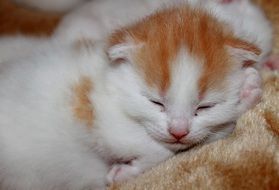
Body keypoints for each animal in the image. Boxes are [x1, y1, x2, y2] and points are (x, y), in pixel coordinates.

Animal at [0, 2, 264, 189]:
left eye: (205, 107)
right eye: (155, 102)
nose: (178, 131)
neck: (110, 82)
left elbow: (201, 139)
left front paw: (248, 90)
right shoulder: (102, 117)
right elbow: (159, 149)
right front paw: (124, 171)